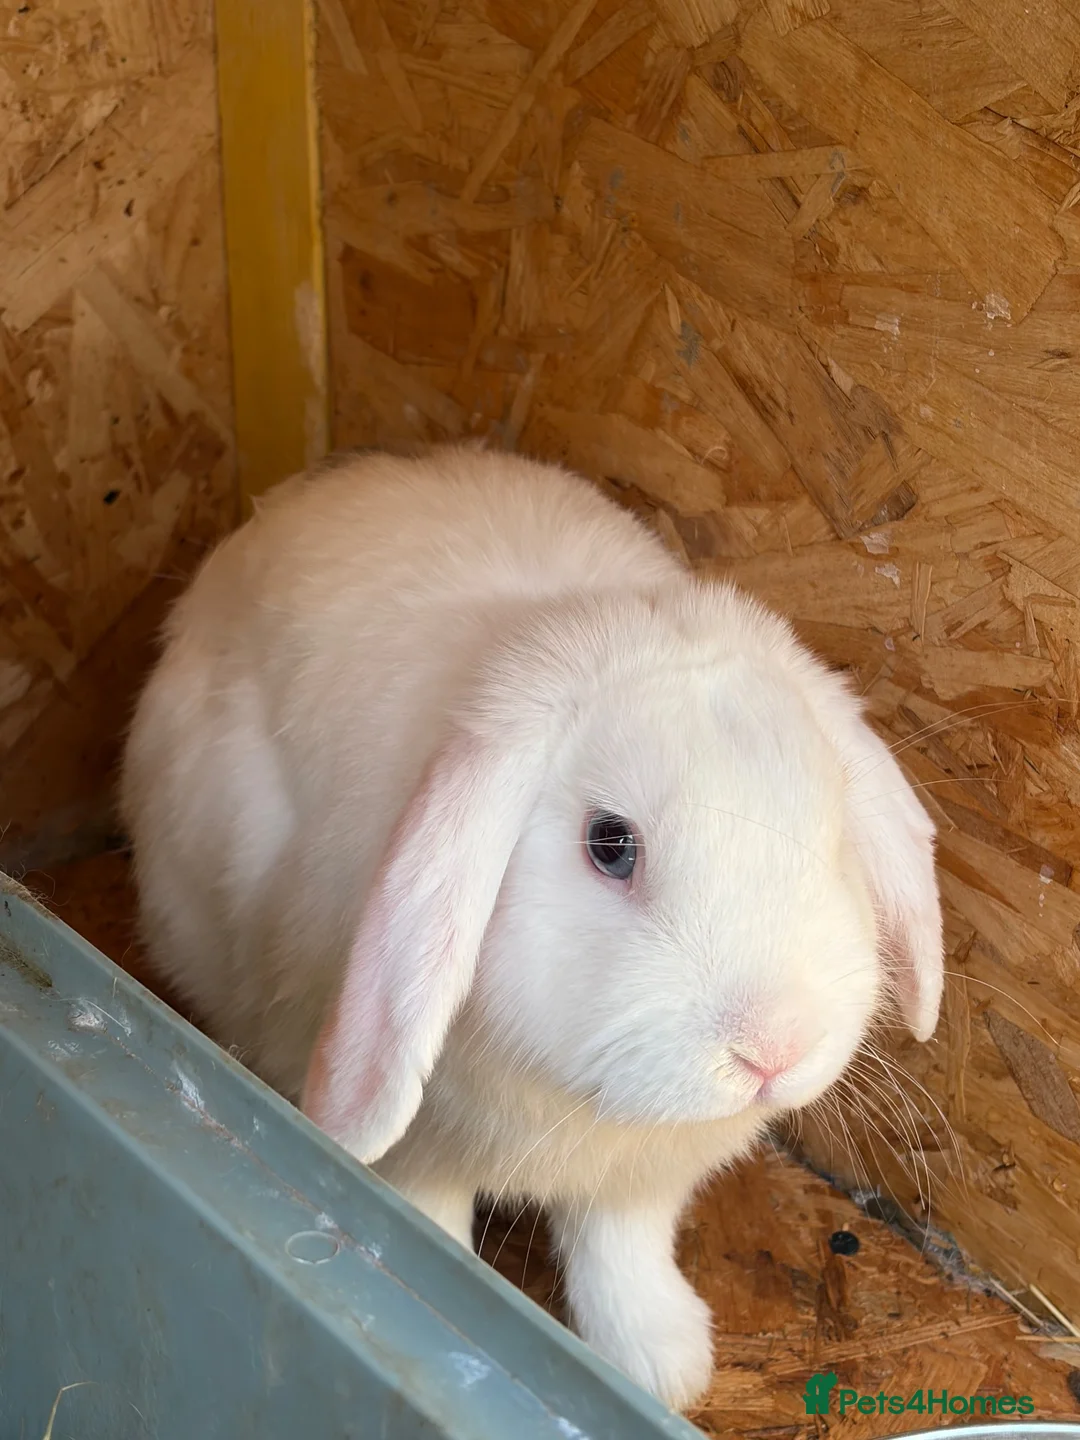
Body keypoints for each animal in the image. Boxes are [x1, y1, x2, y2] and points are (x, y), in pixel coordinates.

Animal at [119, 442, 943, 1412]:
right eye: (609, 844)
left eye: (833, 828)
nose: (772, 1050)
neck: (585, 1104)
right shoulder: (419, 1158)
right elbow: (432, 1237)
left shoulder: (638, 1183)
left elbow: (621, 1251)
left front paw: (662, 1366)